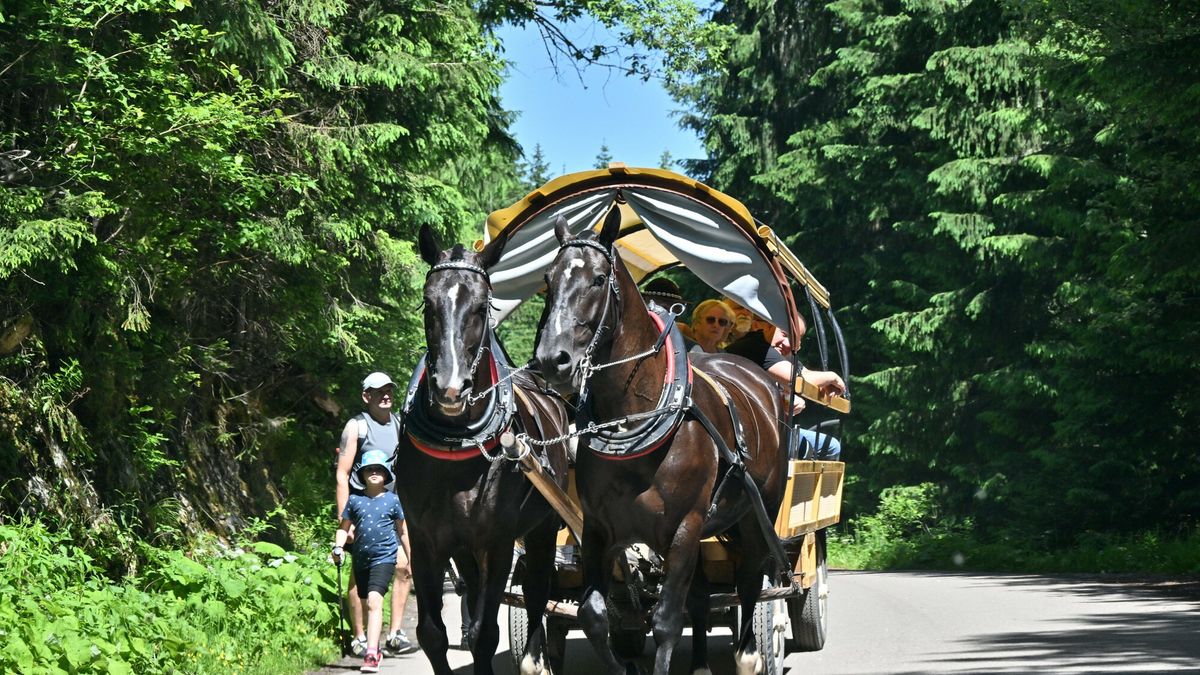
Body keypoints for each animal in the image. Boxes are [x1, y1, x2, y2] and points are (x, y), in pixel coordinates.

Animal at [395, 224, 571, 675]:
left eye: (481, 306)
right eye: (428, 303)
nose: (450, 389)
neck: (455, 449)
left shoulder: (497, 542)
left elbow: (486, 633)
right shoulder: (425, 542)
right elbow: (433, 634)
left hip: (543, 529)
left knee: (538, 594)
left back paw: (535, 658)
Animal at [532, 207, 789, 675]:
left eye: (599, 278)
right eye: (548, 278)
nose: (551, 360)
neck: (637, 418)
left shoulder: (685, 528)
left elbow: (668, 620)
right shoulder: (598, 529)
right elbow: (594, 615)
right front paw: (624, 664)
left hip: (756, 515)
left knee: (750, 583)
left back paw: (748, 655)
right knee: (703, 599)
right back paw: (702, 663)